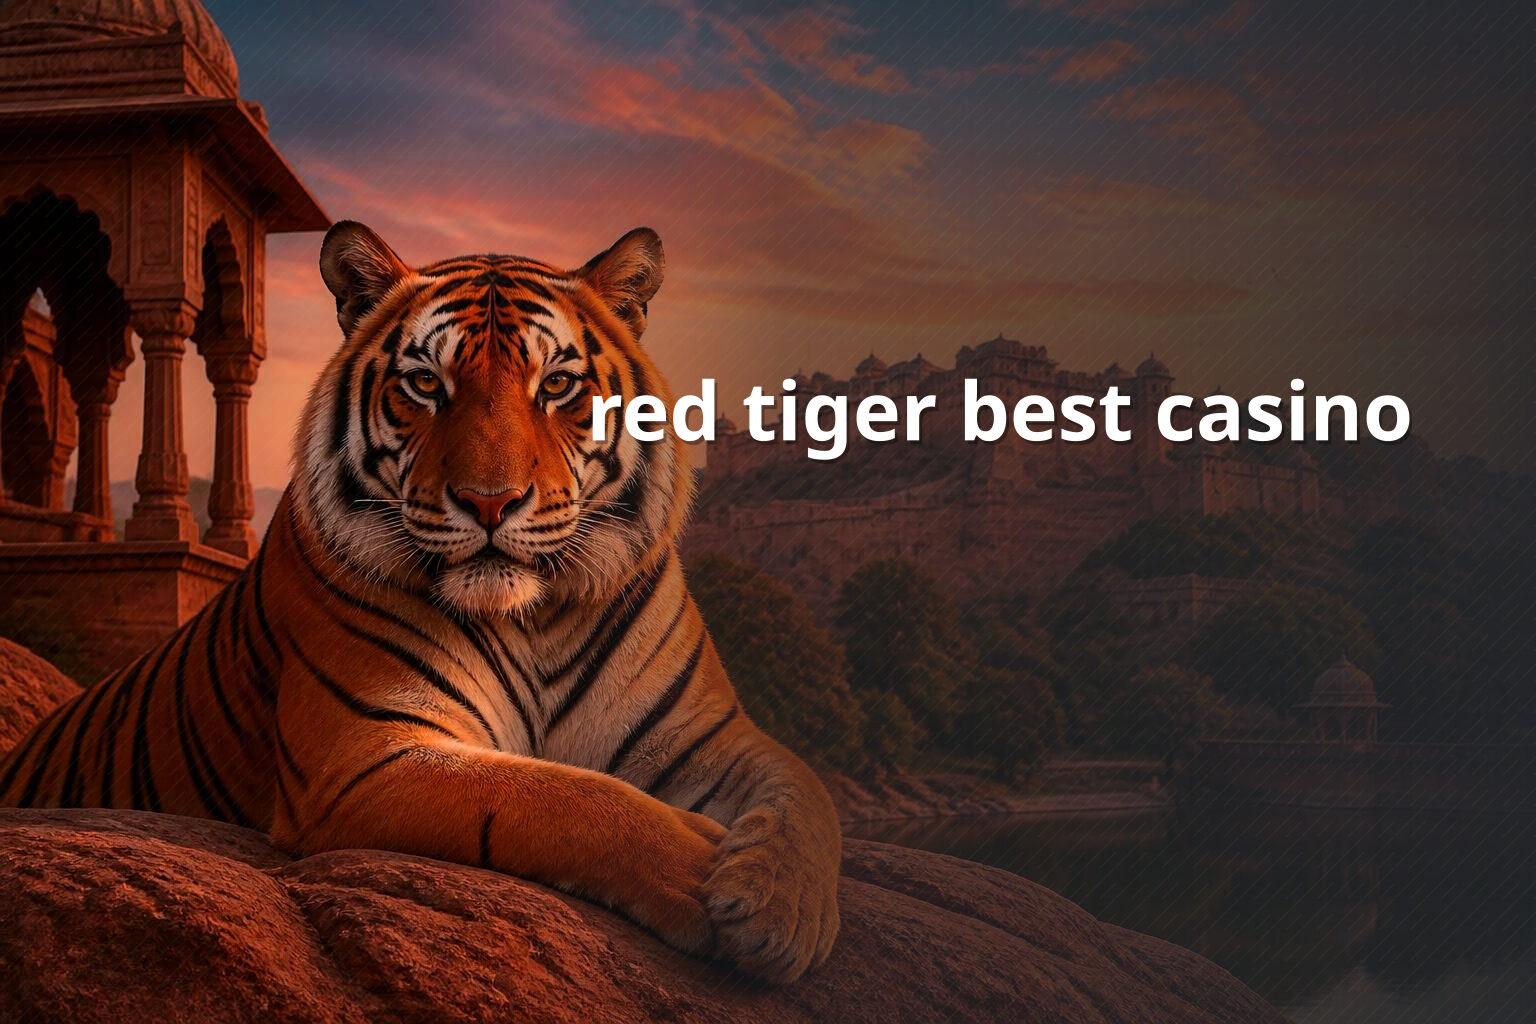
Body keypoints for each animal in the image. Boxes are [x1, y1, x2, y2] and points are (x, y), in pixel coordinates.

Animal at [0, 221, 841, 984]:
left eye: (557, 385)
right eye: (426, 384)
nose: (490, 502)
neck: (535, 617)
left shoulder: (702, 735)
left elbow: (807, 790)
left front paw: (777, 910)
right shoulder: (367, 752)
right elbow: (568, 796)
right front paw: (698, 866)